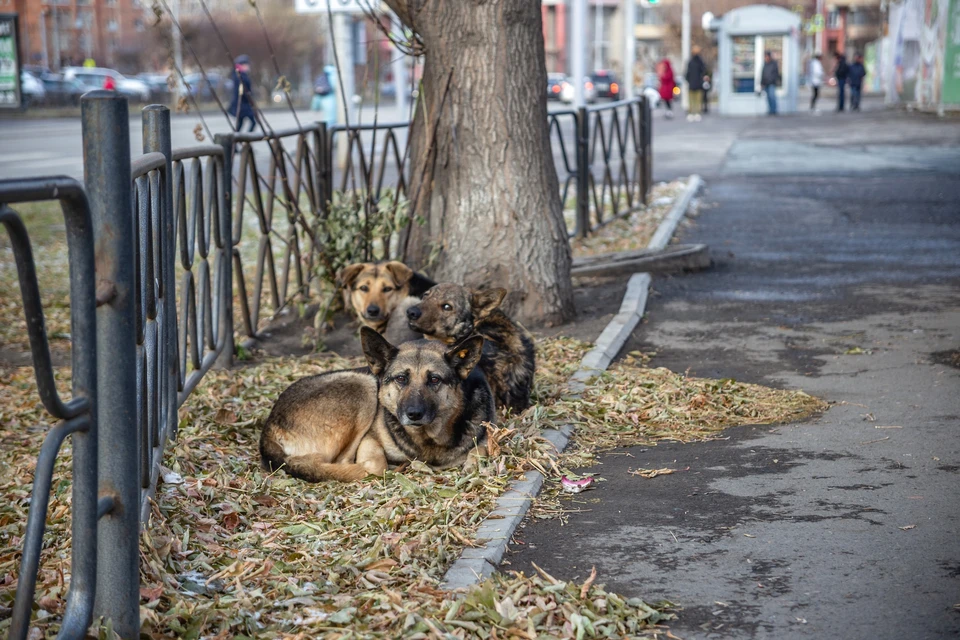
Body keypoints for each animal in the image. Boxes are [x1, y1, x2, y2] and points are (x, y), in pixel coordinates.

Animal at [258, 328, 492, 482]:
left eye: (434, 379)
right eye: (401, 379)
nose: (414, 414)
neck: (428, 438)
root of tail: (268, 429)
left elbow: (479, 451)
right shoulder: (369, 440)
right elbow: (376, 465)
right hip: (364, 384)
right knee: (343, 463)